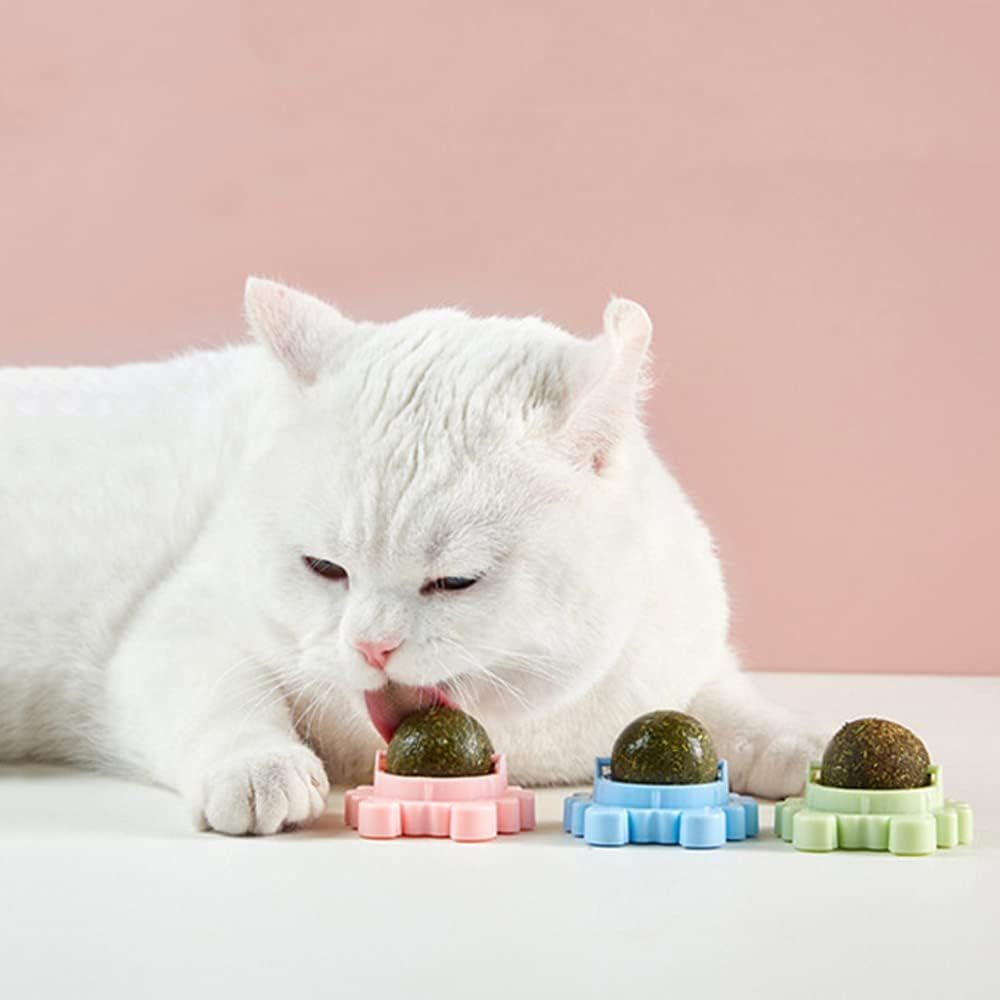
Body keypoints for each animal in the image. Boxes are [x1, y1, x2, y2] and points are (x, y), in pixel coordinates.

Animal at [0, 278, 828, 832]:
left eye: (455, 581)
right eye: (325, 569)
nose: (371, 645)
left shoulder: (675, 661)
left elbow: (729, 706)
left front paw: (801, 743)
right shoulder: (176, 630)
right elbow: (226, 698)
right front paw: (259, 766)